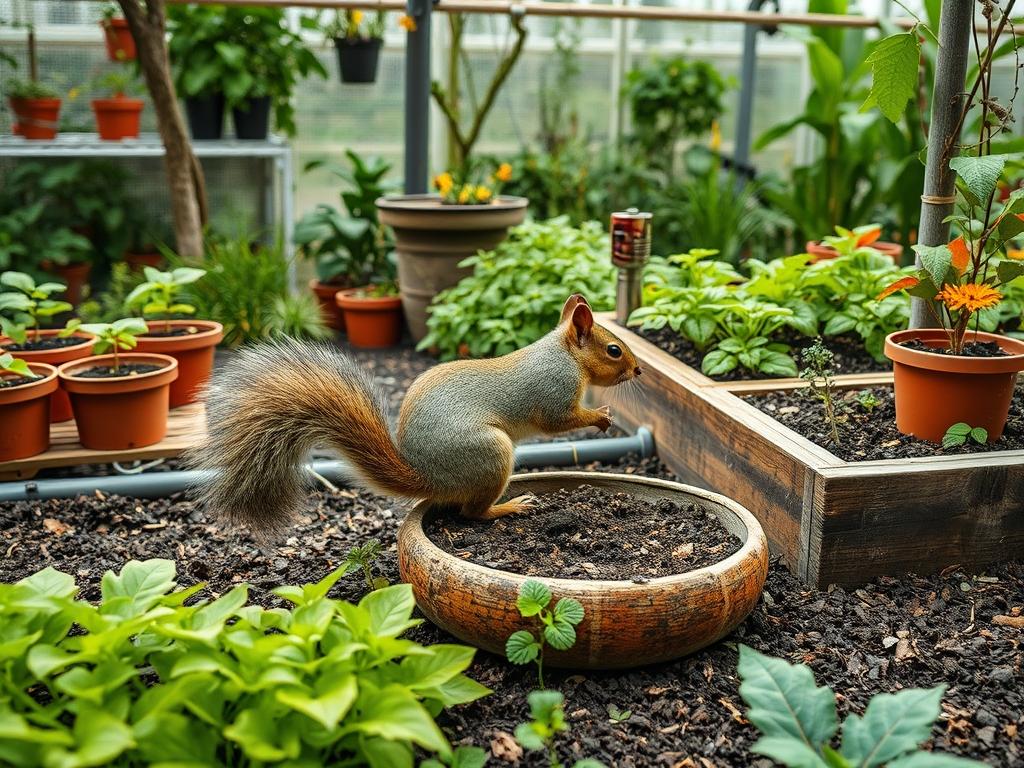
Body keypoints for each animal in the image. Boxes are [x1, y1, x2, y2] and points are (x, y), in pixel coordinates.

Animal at [190, 293, 642, 536]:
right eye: (614, 350)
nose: (638, 371)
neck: (564, 354)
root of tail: (429, 477)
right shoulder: (553, 391)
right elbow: (557, 422)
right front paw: (600, 417)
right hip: (492, 454)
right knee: (471, 514)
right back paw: (508, 507)